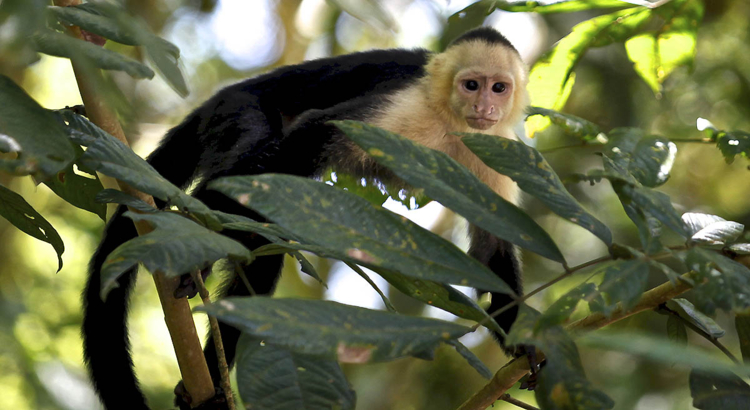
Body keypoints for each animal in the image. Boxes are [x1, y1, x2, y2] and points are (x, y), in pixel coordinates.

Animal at [81, 27, 528, 408]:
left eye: (498, 87)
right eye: (471, 84)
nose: (484, 106)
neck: (450, 121)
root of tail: (222, 97)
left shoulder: (495, 148)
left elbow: (493, 248)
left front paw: (524, 345)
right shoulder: (408, 108)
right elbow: (317, 129)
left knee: (263, 244)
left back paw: (211, 382)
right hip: (238, 112)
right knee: (258, 161)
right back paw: (198, 230)